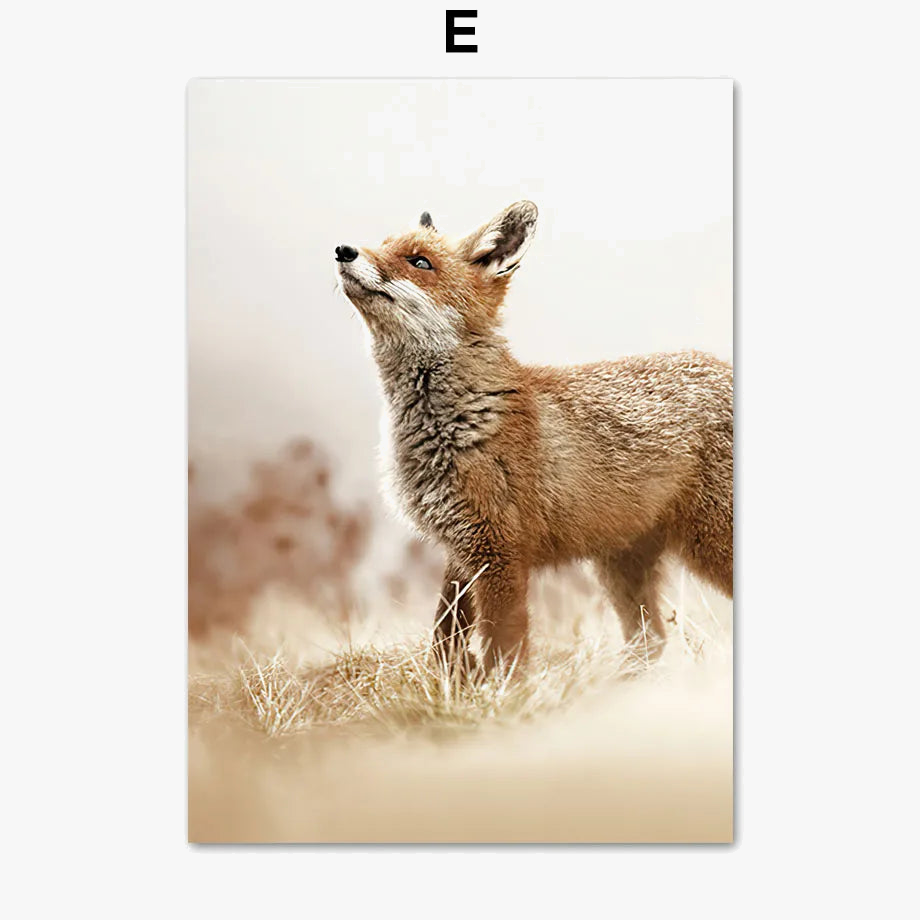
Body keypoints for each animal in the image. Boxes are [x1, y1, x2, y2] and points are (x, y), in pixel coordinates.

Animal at [334, 201, 732, 673]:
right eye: (384, 244)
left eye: (419, 262)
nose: (343, 250)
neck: (453, 424)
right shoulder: (462, 547)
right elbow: (445, 633)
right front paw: (449, 682)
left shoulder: (499, 550)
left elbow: (504, 645)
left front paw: (502, 690)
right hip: (620, 565)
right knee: (650, 641)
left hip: (707, 545)